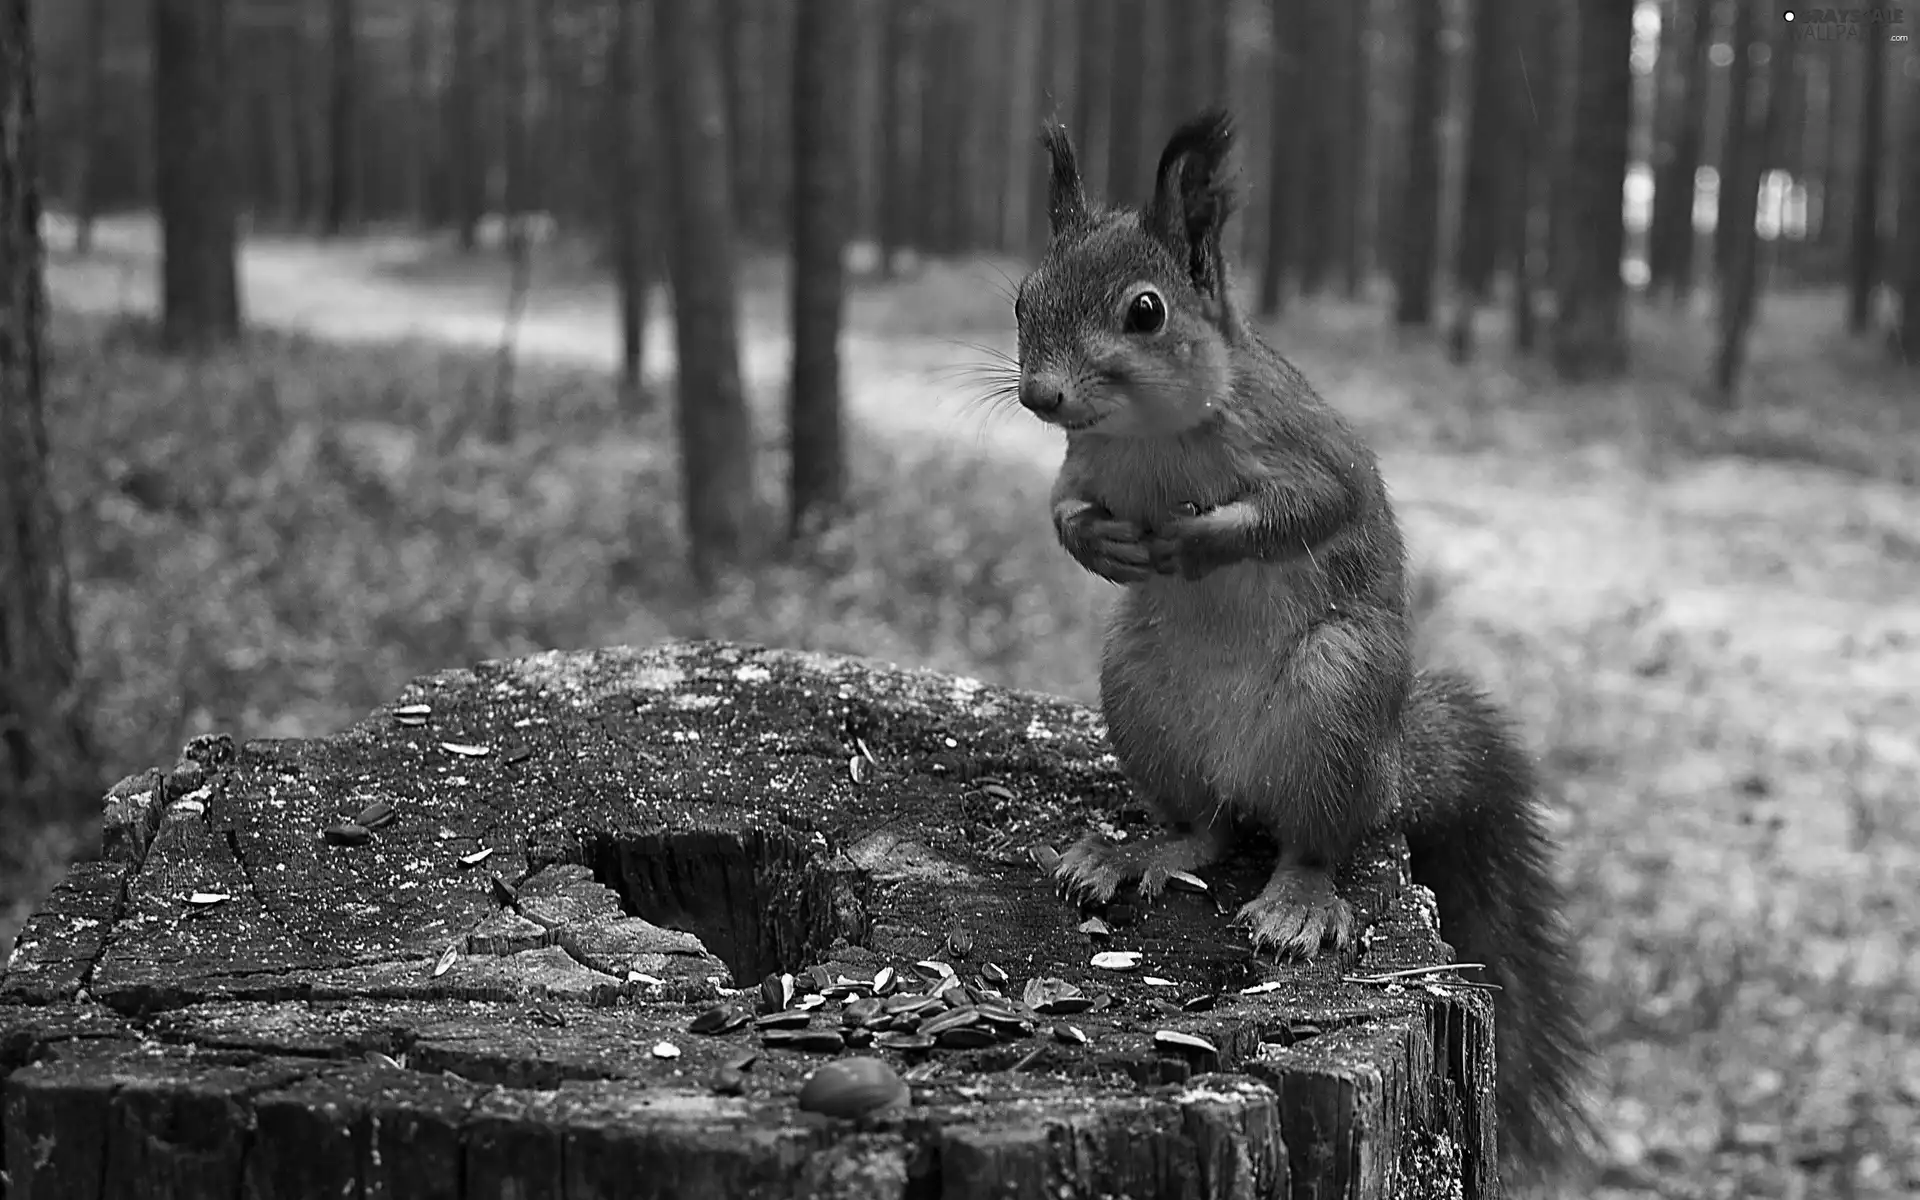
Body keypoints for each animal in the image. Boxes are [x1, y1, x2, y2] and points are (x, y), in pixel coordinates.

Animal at [1013, 109, 1597, 1182]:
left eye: (1146, 312)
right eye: (1024, 298)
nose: (1039, 397)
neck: (1156, 434)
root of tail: (1389, 776)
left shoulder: (1306, 444)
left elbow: (1320, 505)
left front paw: (1202, 541)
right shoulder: (1084, 464)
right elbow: (1063, 509)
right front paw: (1102, 544)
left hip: (1338, 699)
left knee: (1312, 843)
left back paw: (1298, 904)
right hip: (1140, 692)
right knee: (1207, 829)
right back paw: (1136, 850)